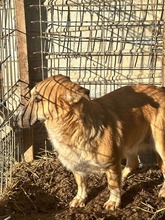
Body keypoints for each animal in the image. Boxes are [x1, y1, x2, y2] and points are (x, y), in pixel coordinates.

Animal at [17, 75, 165, 211]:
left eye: (38, 100)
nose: (16, 118)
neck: (73, 127)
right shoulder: (77, 164)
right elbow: (81, 184)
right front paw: (80, 198)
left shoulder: (111, 163)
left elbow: (113, 186)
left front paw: (114, 201)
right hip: (128, 141)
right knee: (133, 163)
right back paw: (122, 177)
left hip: (160, 146)